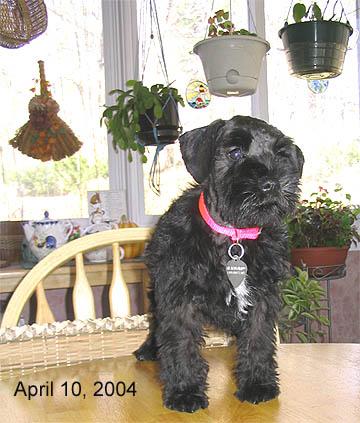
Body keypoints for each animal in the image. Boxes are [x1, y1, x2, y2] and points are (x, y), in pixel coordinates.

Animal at [134, 116, 304, 414]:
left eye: (281, 154)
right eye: (235, 152)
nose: (272, 183)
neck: (234, 237)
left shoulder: (262, 299)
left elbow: (258, 340)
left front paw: (257, 384)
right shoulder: (179, 300)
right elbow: (181, 344)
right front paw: (185, 391)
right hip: (156, 295)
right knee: (156, 324)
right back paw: (149, 350)